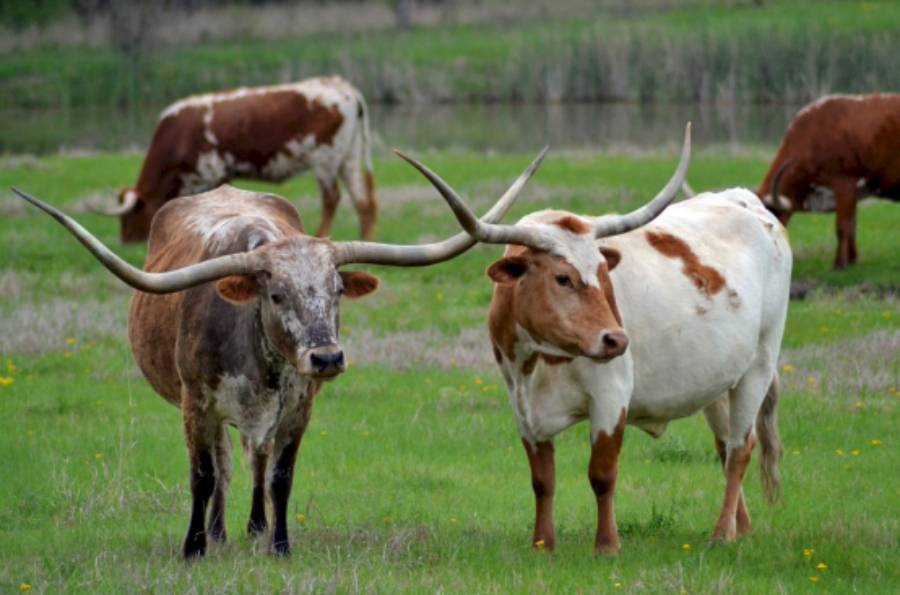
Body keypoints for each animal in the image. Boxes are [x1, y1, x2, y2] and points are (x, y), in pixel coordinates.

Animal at [10, 147, 544, 556]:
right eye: (276, 294)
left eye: (336, 291)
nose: (326, 358)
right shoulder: (195, 403)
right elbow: (203, 476)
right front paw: (194, 547)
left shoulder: (298, 407)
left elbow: (280, 476)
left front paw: (279, 545)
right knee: (225, 464)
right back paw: (218, 533)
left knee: (255, 460)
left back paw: (253, 527)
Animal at [98, 77, 380, 244]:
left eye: (128, 217)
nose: (126, 242)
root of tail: (340, 85)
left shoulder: (215, 170)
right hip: (348, 158)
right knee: (362, 199)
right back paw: (365, 240)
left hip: (325, 159)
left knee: (332, 197)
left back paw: (322, 236)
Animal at [404, 125, 792, 556]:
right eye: (562, 278)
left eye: (604, 271)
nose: (617, 339)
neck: (539, 361)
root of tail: (745, 200)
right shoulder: (521, 406)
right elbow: (543, 479)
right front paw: (543, 544)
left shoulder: (611, 395)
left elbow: (602, 474)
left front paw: (607, 545)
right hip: (719, 380)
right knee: (725, 446)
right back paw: (742, 528)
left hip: (759, 364)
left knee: (740, 448)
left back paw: (722, 533)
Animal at [760, 93, 900, 270]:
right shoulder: (852, 194)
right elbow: (852, 226)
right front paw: (852, 260)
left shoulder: (845, 184)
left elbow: (843, 227)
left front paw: (839, 264)